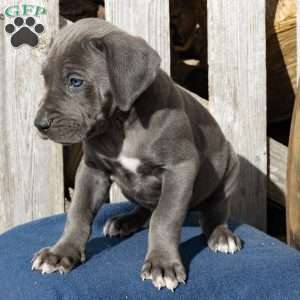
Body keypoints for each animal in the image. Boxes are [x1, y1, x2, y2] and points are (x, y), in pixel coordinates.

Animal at [32, 18, 241, 290]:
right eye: (45, 79)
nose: (39, 124)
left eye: (75, 81)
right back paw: (124, 221)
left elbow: (165, 217)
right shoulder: (92, 170)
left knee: (214, 211)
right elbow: (78, 212)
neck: (121, 124)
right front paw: (61, 253)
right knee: (145, 209)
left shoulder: (180, 168)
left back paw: (221, 235)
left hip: (229, 167)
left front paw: (162, 264)